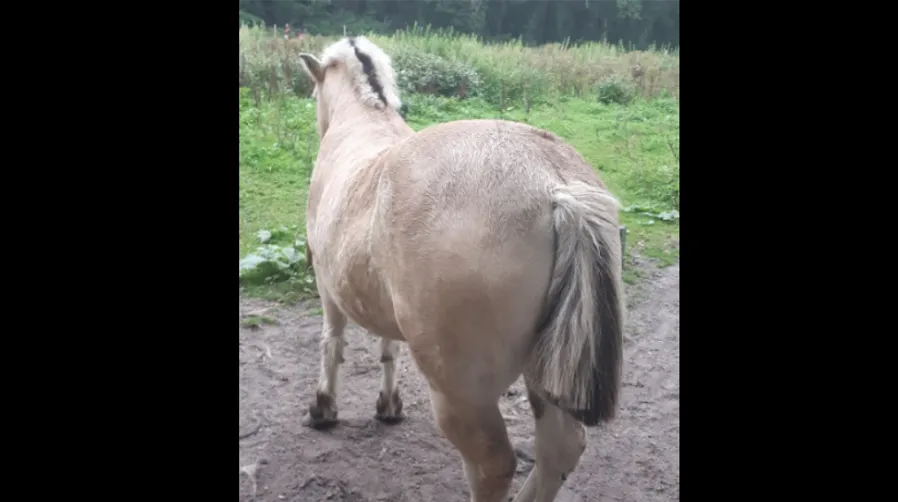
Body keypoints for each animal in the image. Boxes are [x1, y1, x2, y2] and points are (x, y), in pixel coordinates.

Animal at [297, 36, 625, 502]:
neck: (365, 125)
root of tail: (553, 183)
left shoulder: (329, 288)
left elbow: (332, 343)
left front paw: (323, 407)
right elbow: (387, 348)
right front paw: (388, 405)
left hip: (462, 395)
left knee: (493, 465)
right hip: (545, 371)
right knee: (559, 449)